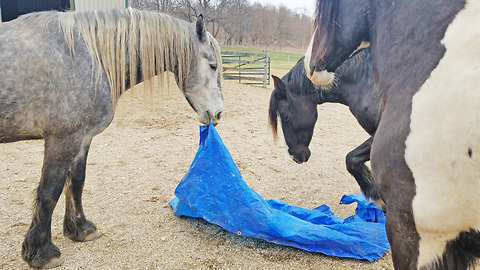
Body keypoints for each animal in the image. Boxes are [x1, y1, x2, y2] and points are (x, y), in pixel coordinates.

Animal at [0, 7, 224, 268]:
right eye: (212, 65)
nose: (218, 113)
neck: (87, 56)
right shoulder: (62, 139)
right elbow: (49, 191)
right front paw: (41, 252)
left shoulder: (83, 138)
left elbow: (76, 182)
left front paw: (80, 229)